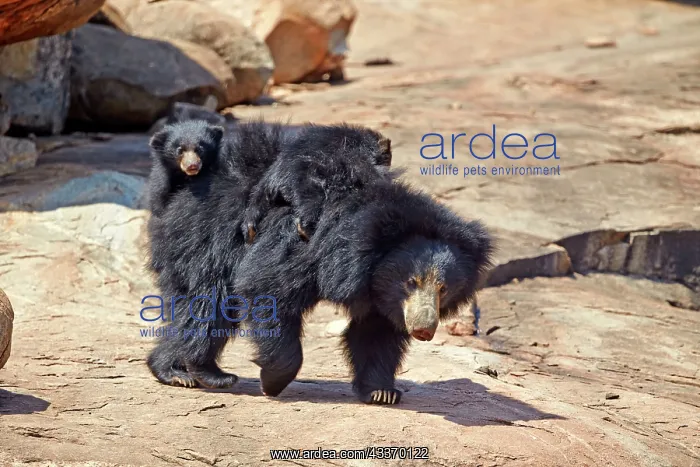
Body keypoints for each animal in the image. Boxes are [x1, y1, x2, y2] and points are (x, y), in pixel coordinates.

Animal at [241, 124, 393, 243]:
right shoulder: (357, 158)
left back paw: (250, 231)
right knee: (309, 206)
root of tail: (275, 180)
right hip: (307, 183)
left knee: (255, 206)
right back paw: (307, 232)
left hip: (264, 189)